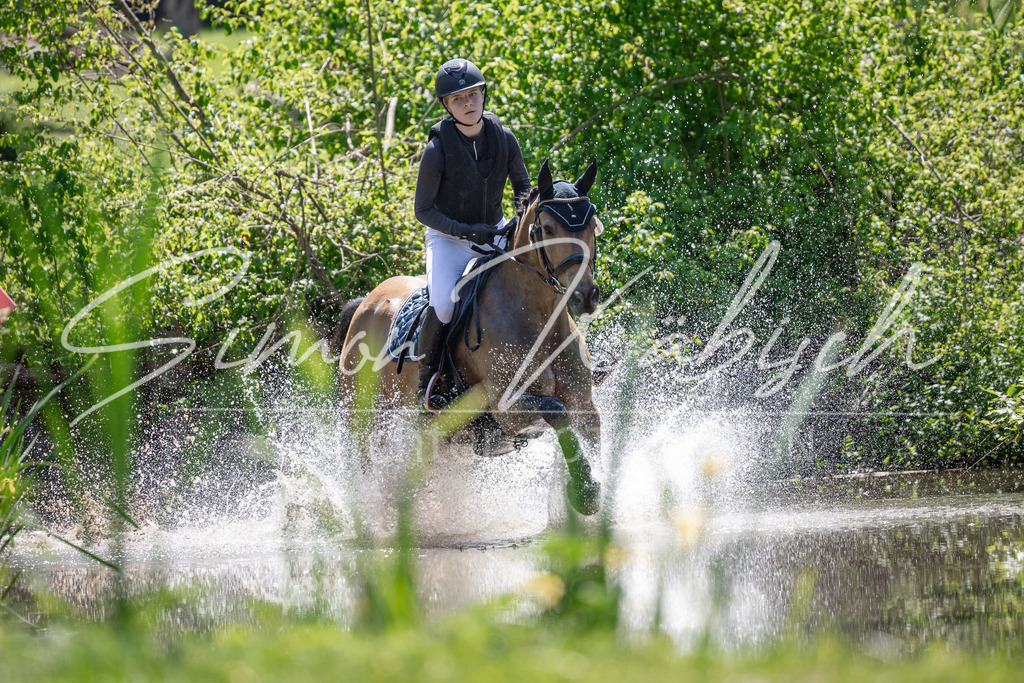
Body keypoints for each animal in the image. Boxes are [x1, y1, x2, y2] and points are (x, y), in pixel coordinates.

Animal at [336, 160, 603, 516]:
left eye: (591, 227)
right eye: (546, 228)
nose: (584, 296)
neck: (538, 320)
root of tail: (366, 303)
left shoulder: (584, 404)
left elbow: (591, 433)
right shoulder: (508, 408)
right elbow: (555, 411)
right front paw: (584, 490)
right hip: (366, 421)